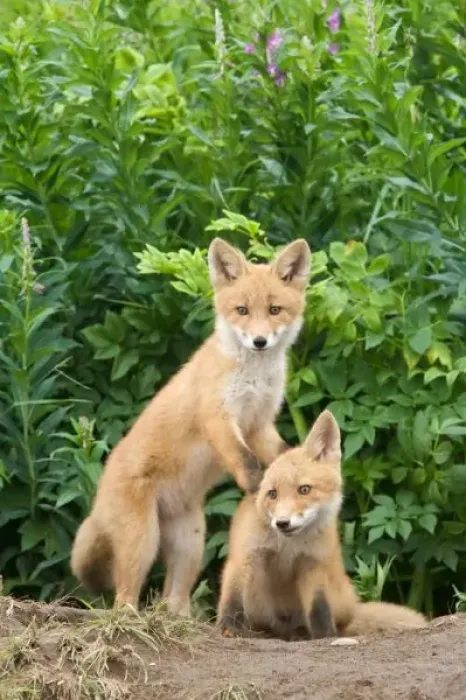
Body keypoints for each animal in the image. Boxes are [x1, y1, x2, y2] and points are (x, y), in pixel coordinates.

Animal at [71, 236, 311, 615]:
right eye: (242, 310)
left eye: (275, 310)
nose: (259, 342)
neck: (254, 377)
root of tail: (99, 487)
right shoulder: (219, 418)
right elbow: (245, 460)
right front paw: (257, 489)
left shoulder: (259, 423)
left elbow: (278, 454)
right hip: (143, 542)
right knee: (124, 596)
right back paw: (128, 620)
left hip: (191, 546)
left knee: (174, 599)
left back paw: (180, 620)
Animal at [217, 409, 427, 640]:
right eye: (272, 494)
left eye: (304, 490)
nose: (282, 523)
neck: (287, 547)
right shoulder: (245, 555)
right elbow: (232, 597)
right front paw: (228, 628)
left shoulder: (313, 563)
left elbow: (319, 609)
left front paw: (325, 635)